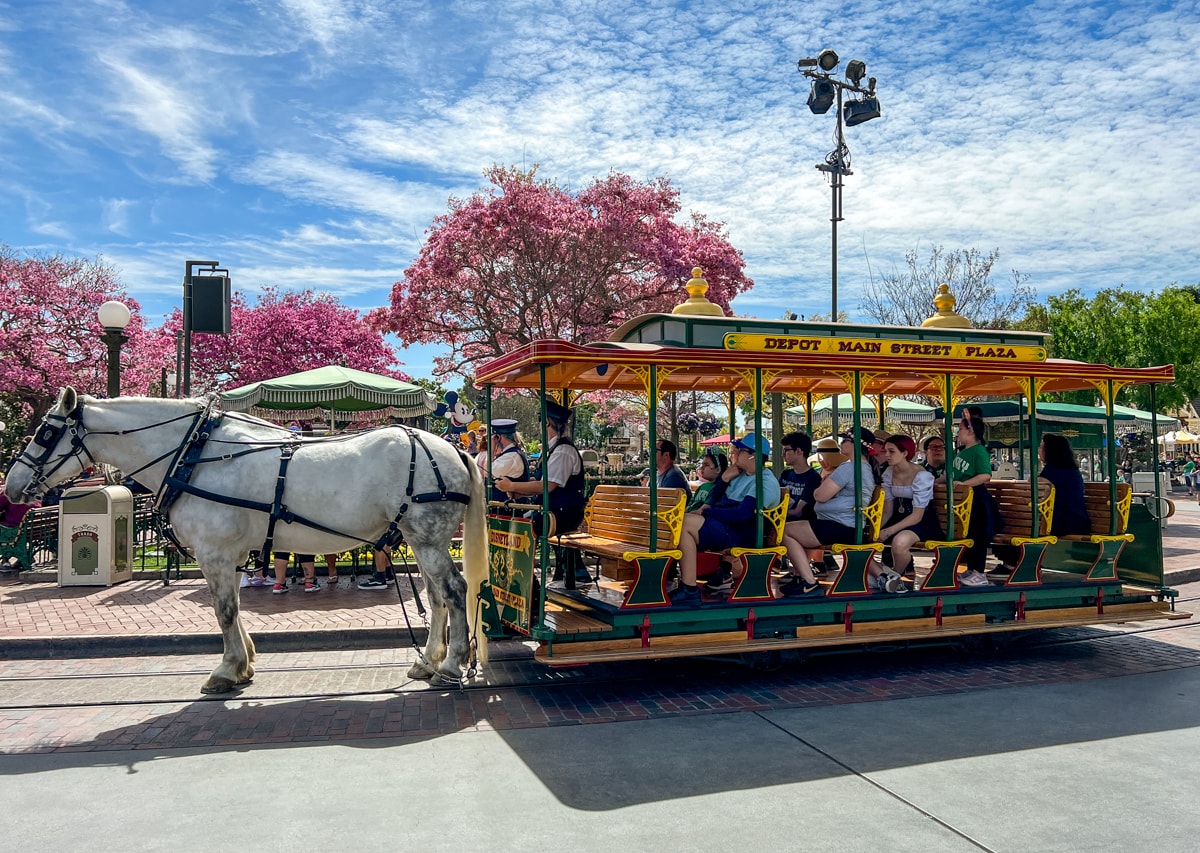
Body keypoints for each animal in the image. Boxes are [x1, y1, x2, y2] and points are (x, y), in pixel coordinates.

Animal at [2, 386, 487, 695]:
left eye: (46, 432)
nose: (12, 485)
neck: (193, 453)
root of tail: (451, 448)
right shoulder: (229, 553)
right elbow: (232, 606)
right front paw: (244, 663)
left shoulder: (213, 551)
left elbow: (223, 610)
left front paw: (227, 669)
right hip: (419, 539)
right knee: (436, 596)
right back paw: (427, 660)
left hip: (428, 538)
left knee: (455, 590)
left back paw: (451, 665)